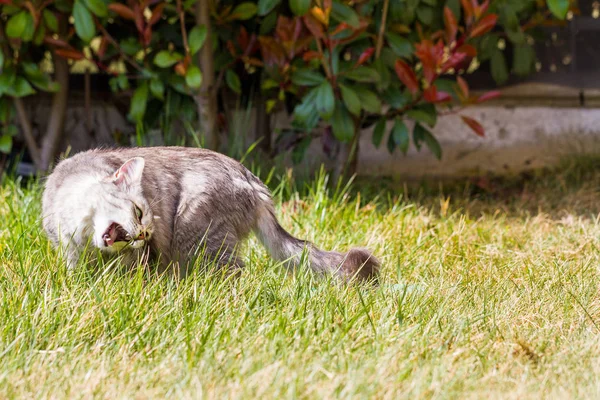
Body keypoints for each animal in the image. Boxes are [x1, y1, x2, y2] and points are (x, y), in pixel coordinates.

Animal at [42, 147, 380, 282]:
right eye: (137, 212)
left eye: (147, 226)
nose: (141, 236)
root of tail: (255, 182)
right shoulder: (68, 249)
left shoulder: (140, 257)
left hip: (196, 232)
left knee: (234, 270)